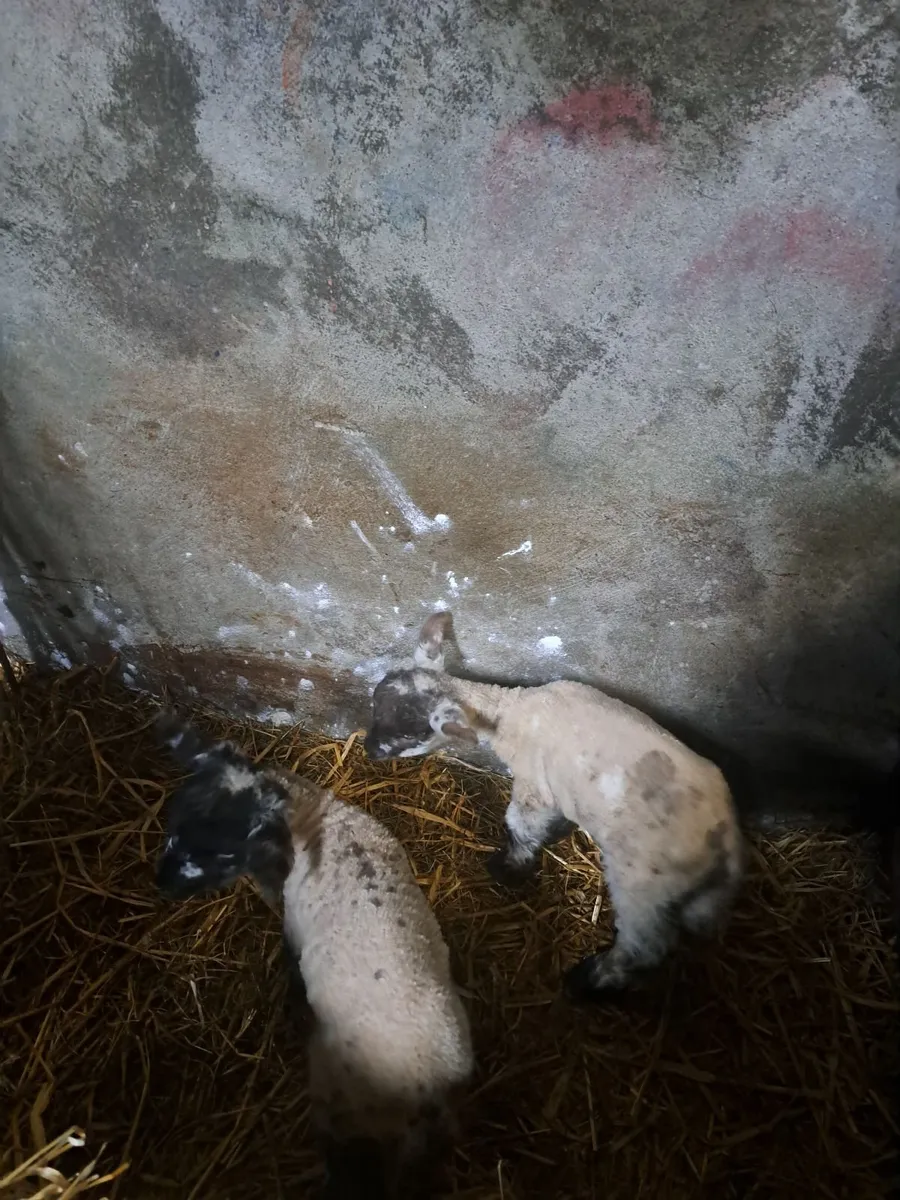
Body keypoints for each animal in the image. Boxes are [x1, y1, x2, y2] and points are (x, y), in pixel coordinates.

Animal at [154, 712, 474, 1199]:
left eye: (226, 852)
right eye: (175, 824)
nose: (163, 883)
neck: (313, 815)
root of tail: (433, 1081)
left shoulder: (290, 929)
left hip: (345, 1110)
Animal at [363, 611, 744, 1002]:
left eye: (410, 733)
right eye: (376, 705)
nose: (369, 750)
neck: (510, 714)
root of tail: (724, 843)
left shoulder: (534, 786)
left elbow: (520, 825)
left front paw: (509, 868)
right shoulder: (558, 790)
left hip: (645, 888)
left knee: (643, 949)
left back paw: (589, 980)